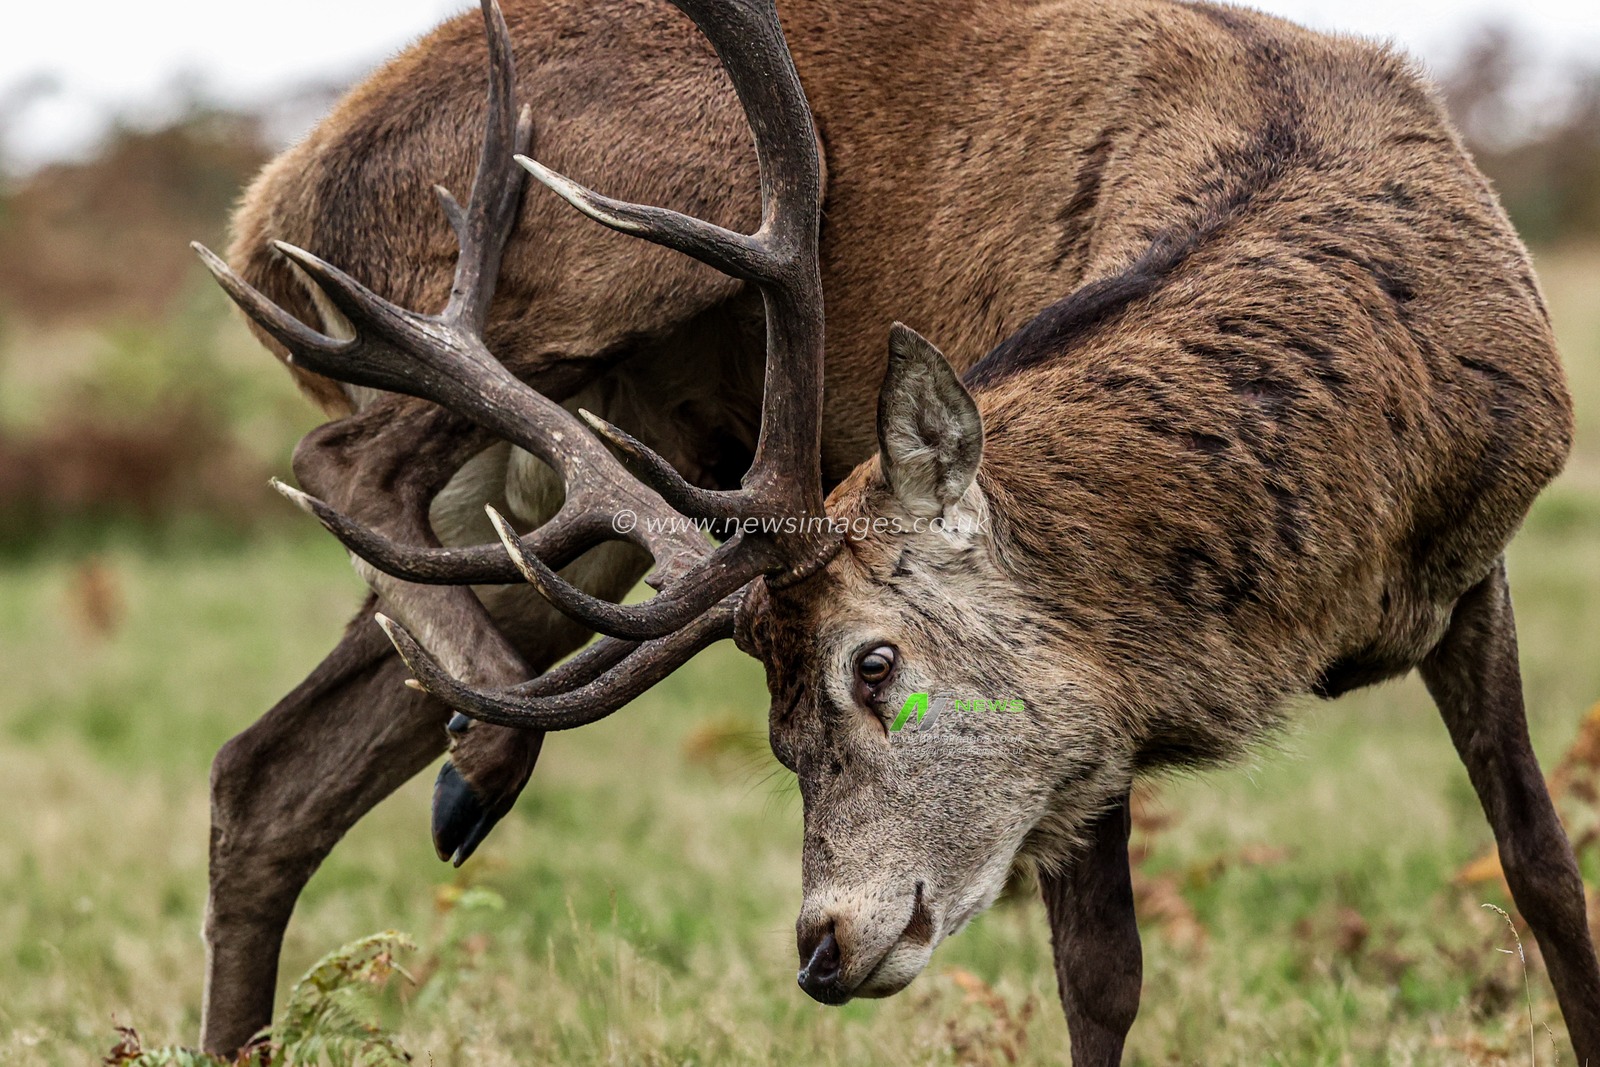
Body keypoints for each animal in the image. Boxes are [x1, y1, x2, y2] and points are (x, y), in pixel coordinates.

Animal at [193, 0, 1600, 1059]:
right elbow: (1102, 970)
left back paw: (448, 768)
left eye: (875, 664)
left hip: (595, 500)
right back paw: (481, 752)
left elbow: (1540, 867)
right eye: (775, 739)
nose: (820, 947)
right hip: (666, 202)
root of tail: (265, 219)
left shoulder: (1473, 570)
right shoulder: (1087, 736)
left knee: (269, 768)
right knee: (334, 463)